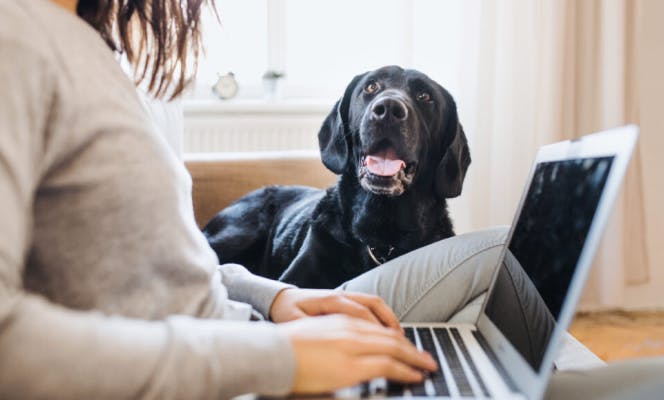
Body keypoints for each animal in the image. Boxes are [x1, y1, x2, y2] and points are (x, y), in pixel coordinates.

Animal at [205, 67, 470, 290]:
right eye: (371, 86)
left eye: (425, 96)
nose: (388, 109)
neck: (381, 236)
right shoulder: (295, 279)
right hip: (239, 233)